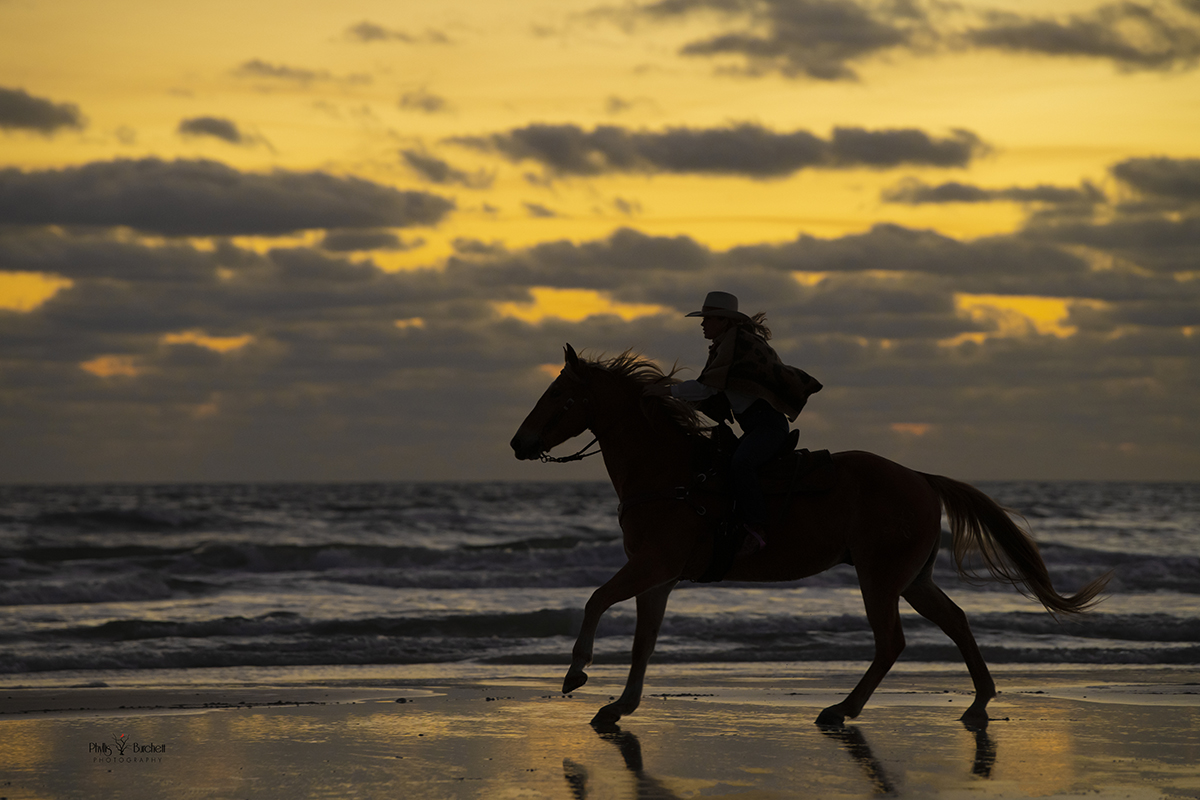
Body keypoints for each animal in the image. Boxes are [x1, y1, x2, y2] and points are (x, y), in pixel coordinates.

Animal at [511, 340, 1108, 729]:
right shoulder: (659, 578)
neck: (670, 474)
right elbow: (643, 643)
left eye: (559, 395)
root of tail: (921, 478)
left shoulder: (651, 566)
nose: (519, 443)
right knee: (955, 621)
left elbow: (596, 600)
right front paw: (619, 706)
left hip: (879, 577)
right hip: (912, 578)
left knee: (891, 641)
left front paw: (576, 673)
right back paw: (978, 701)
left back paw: (842, 710)